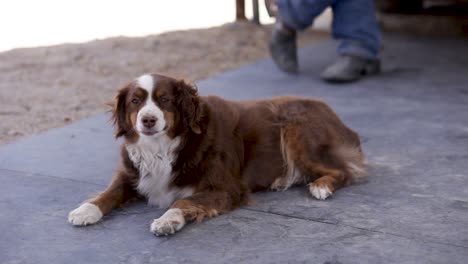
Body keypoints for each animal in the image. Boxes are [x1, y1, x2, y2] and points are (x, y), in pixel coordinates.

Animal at [67, 73, 366, 235]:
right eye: (135, 101)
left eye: (164, 100)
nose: (148, 120)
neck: (163, 147)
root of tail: (336, 115)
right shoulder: (132, 172)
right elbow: (110, 192)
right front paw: (86, 210)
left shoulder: (225, 188)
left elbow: (184, 201)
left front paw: (167, 220)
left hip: (295, 126)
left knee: (344, 171)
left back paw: (321, 186)